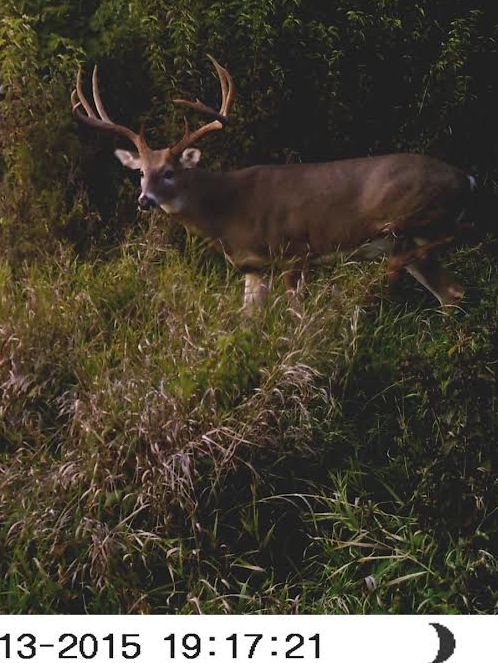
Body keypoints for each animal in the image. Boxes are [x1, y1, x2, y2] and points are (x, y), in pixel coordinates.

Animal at [71, 56, 476, 313]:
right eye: (141, 172)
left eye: (170, 171)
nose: (145, 200)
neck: (228, 210)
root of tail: (466, 178)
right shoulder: (254, 267)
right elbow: (246, 324)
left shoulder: (294, 249)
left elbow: (297, 320)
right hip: (413, 241)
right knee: (453, 292)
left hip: (413, 221)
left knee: (450, 257)